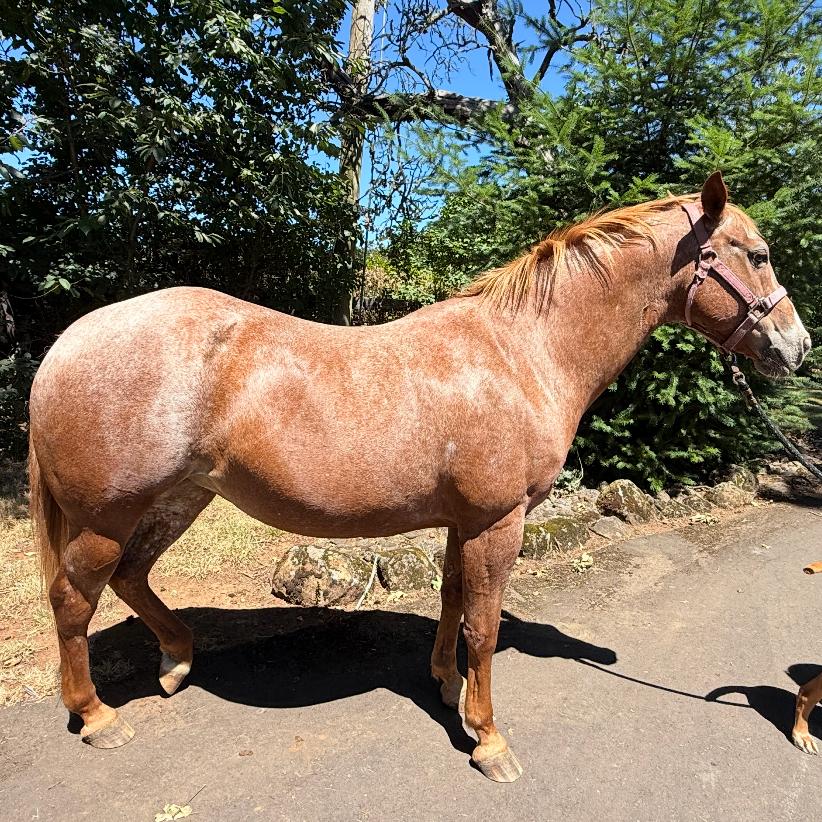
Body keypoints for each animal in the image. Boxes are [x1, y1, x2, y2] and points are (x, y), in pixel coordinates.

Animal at [28, 172, 811, 781]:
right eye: (758, 254)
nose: (796, 347)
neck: (521, 353)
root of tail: (67, 345)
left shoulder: (465, 522)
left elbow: (453, 600)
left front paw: (446, 685)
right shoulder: (499, 521)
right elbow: (484, 626)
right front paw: (490, 741)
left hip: (180, 498)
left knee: (131, 578)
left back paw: (177, 660)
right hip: (109, 514)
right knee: (73, 599)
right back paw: (96, 716)